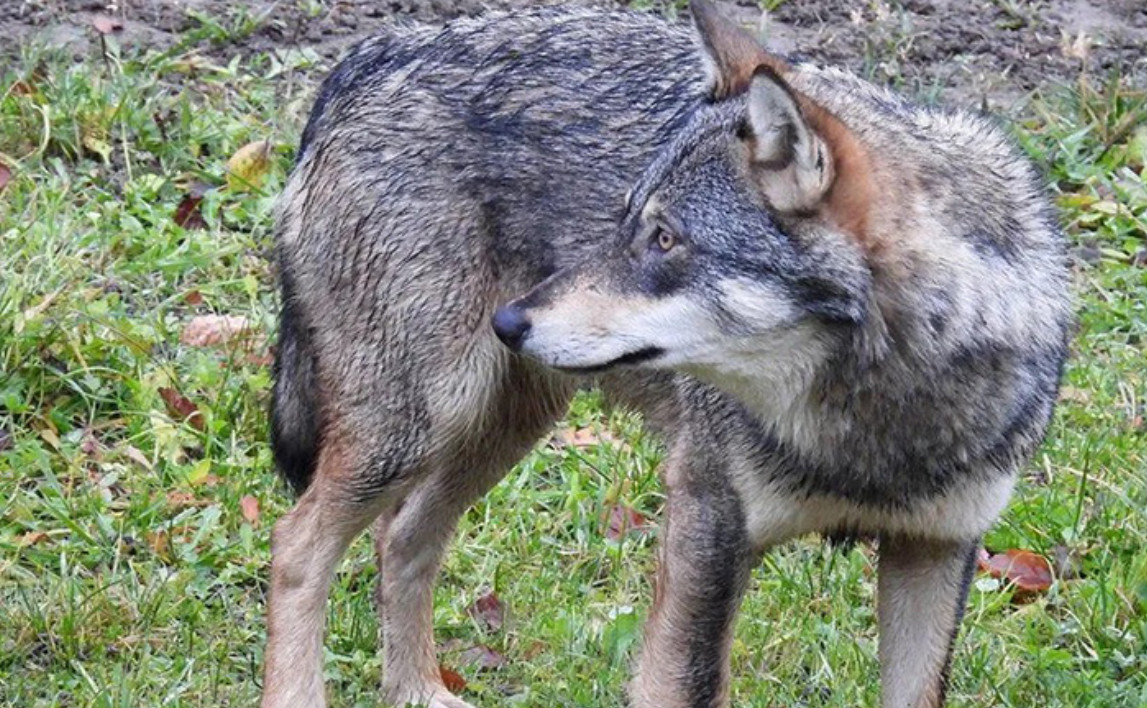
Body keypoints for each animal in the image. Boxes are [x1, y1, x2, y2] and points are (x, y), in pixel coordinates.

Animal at [263, 2, 1069, 702]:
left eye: (663, 238)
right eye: (628, 221)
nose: (509, 320)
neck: (873, 428)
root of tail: (374, 53)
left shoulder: (936, 550)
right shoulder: (705, 530)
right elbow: (682, 685)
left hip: (496, 428)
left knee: (400, 540)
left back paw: (417, 693)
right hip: (414, 429)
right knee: (296, 547)